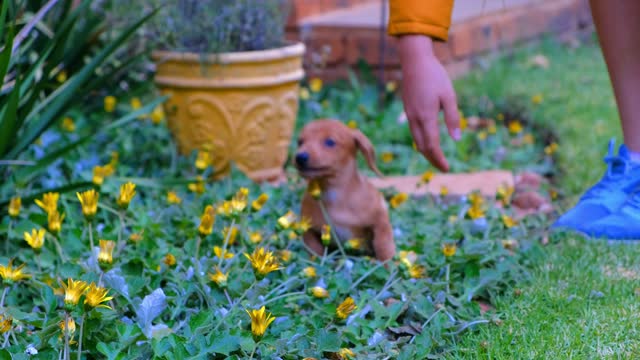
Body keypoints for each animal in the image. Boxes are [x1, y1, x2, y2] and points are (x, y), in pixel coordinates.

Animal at [296, 119, 396, 260]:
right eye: (300, 142)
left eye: (329, 142)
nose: (300, 157)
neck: (334, 194)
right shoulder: (309, 228)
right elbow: (315, 249)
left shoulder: (381, 223)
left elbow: (384, 247)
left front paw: (390, 263)